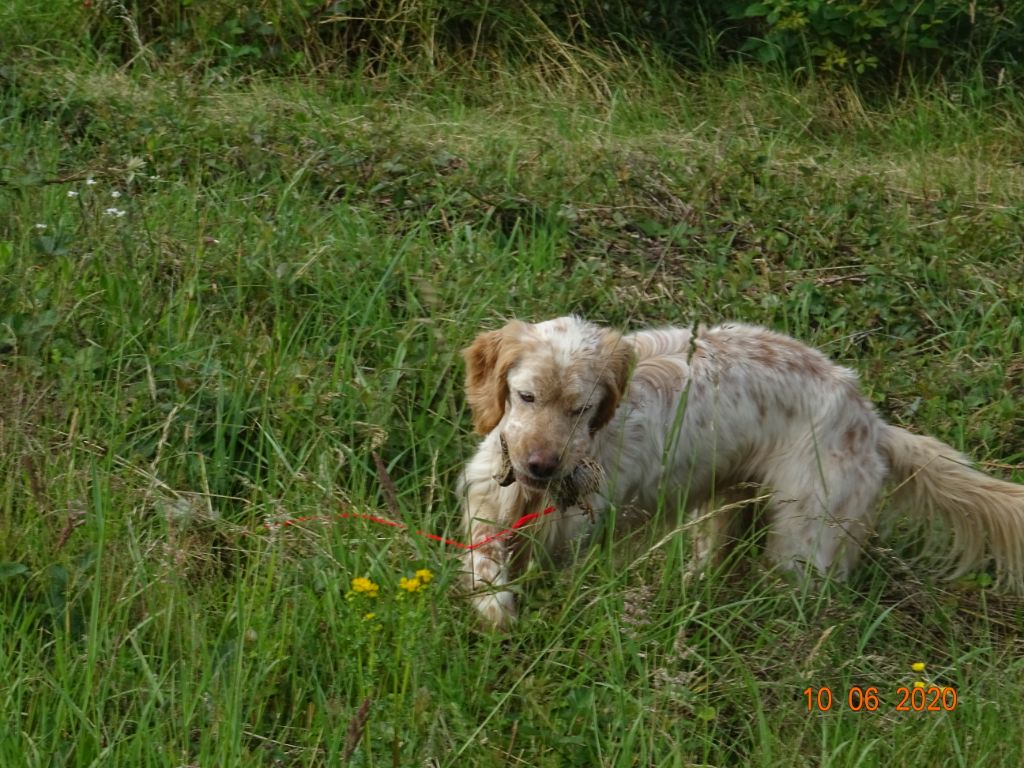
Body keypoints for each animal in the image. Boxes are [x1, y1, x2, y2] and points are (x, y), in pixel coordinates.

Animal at [460, 315, 1024, 626]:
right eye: (526, 396)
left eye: (581, 409)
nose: (541, 465)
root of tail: (868, 420)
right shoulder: (489, 501)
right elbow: (486, 561)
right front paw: (497, 609)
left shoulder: (576, 536)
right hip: (726, 504)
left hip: (804, 543)